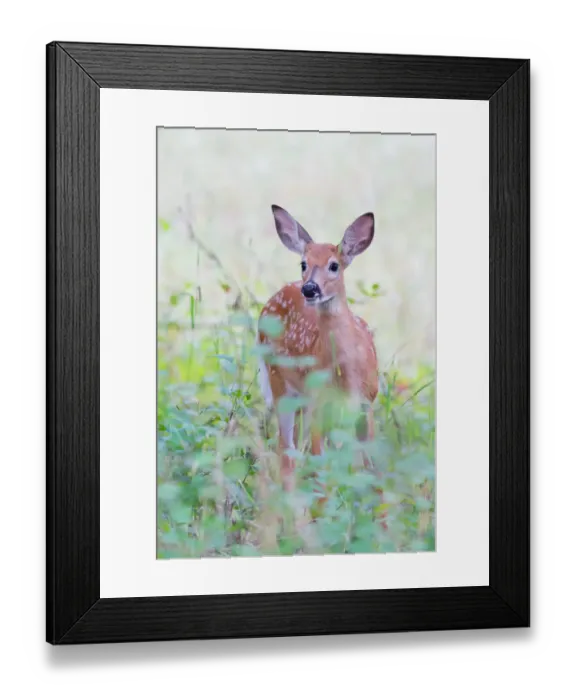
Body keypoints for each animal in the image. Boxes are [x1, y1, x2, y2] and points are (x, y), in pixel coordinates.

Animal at [257, 205, 379, 493]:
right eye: (303, 264)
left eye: (334, 265)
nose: (310, 288)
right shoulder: (318, 401)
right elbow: (322, 464)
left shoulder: (367, 401)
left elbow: (371, 468)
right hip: (280, 383)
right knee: (287, 451)